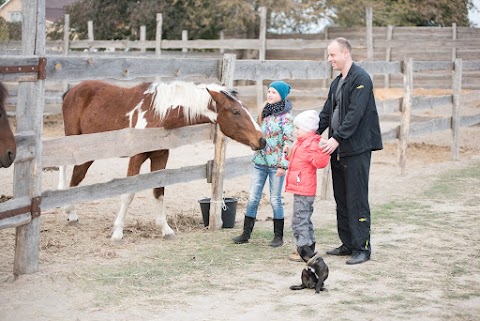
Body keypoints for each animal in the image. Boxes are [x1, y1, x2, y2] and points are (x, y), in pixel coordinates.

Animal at [58, 79, 266, 240]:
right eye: (235, 111)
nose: (261, 140)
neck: (160, 113)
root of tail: (72, 90)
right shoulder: (136, 157)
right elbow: (128, 193)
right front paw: (117, 232)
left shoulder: (160, 156)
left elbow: (158, 191)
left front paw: (166, 230)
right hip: (73, 142)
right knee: (64, 166)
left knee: (77, 176)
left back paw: (71, 212)